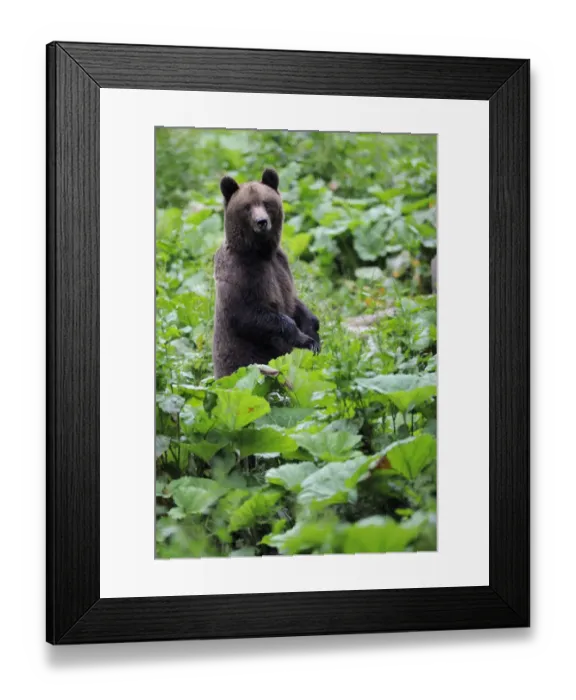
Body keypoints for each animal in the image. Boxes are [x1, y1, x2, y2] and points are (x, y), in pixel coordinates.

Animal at [212, 167, 320, 379]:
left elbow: (294, 300)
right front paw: (303, 339)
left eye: (266, 203)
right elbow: (249, 315)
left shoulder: (281, 265)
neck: (260, 252)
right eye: (246, 207)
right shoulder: (241, 274)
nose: (261, 222)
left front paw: (313, 333)